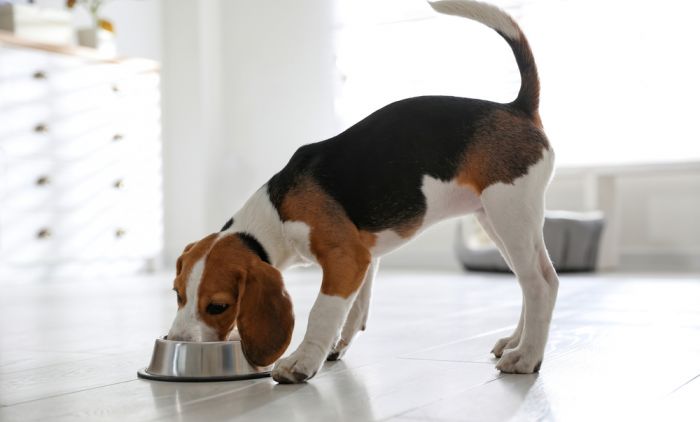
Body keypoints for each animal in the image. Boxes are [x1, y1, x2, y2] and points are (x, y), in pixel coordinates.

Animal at [167, 0, 559, 384]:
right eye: (177, 294)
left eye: (218, 306)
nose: (176, 341)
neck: (275, 212)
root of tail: (517, 107)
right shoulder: (364, 257)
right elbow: (354, 309)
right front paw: (334, 347)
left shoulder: (345, 258)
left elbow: (322, 311)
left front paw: (301, 361)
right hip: (496, 220)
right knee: (532, 281)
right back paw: (515, 341)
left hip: (509, 212)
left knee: (541, 284)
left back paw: (526, 356)